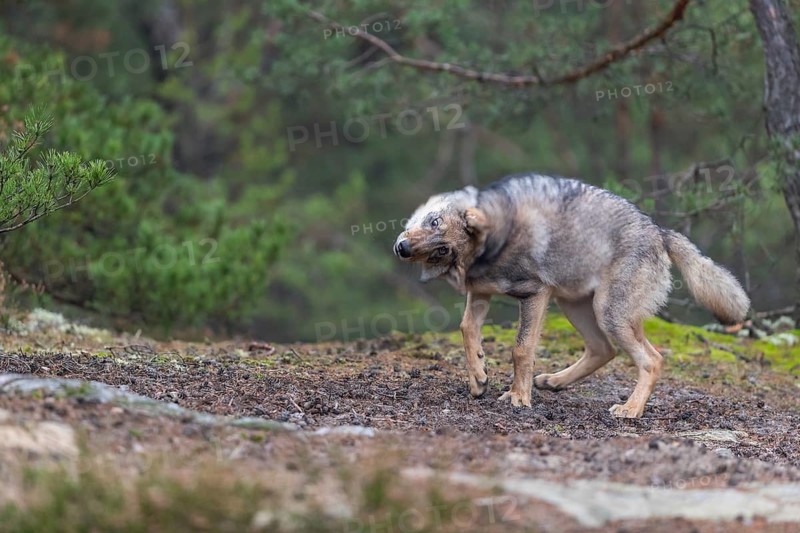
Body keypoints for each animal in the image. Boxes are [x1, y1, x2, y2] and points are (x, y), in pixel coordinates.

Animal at [393, 173, 749, 418]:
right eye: (433, 230)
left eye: (441, 243)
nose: (403, 248)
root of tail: (660, 232)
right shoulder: (480, 294)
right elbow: (467, 330)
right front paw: (479, 377)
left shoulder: (534, 295)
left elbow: (520, 349)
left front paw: (518, 397)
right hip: (574, 306)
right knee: (604, 350)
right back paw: (554, 381)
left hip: (607, 314)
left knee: (652, 359)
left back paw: (630, 410)